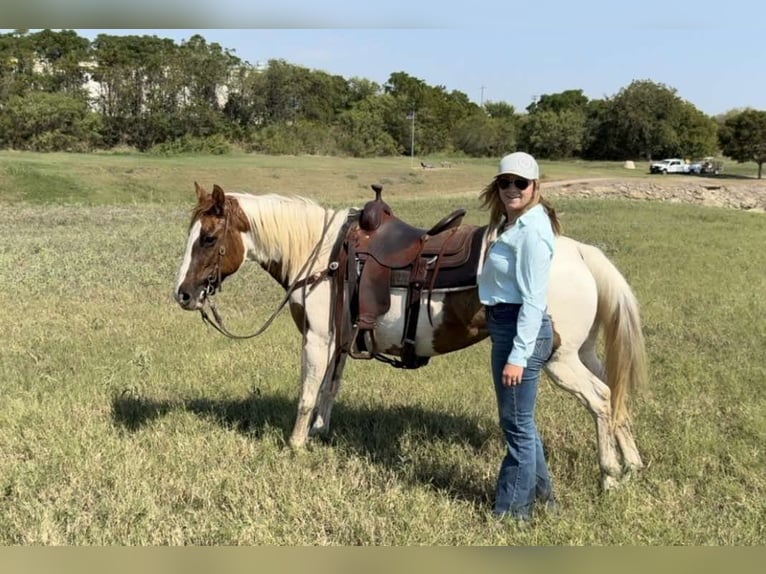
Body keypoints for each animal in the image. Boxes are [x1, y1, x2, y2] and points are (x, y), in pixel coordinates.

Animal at [174, 182, 648, 490]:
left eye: (209, 238)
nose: (183, 294)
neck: (324, 255)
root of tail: (579, 253)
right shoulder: (339, 341)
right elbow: (329, 389)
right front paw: (322, 434)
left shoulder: (317, 339)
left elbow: (307, 394)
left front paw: (295, 446)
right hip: (583, 352)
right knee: (616, 395)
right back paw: (633, 464)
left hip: (559, 361)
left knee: (602, 400)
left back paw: (609, 475)